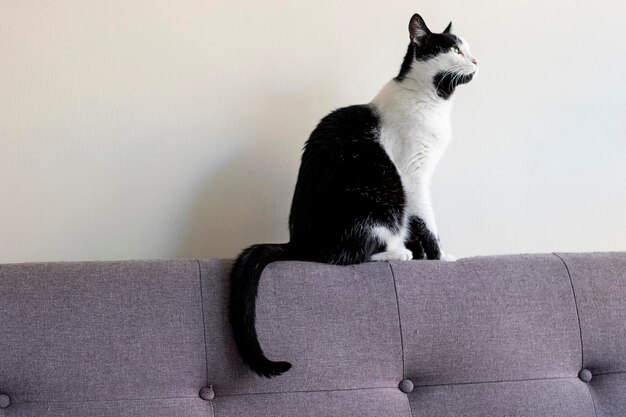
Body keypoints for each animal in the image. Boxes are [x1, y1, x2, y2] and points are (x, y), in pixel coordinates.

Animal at [229, 13, 478, 376]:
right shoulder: (412, 176)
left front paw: (429, 253)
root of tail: (299, 242)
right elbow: (426, 222)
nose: (475, 60)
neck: (431, 101)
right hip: (374, 201)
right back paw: (399, 252)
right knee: (348, 256)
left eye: (468, 49)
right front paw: (440, 256)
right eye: (454, 49)